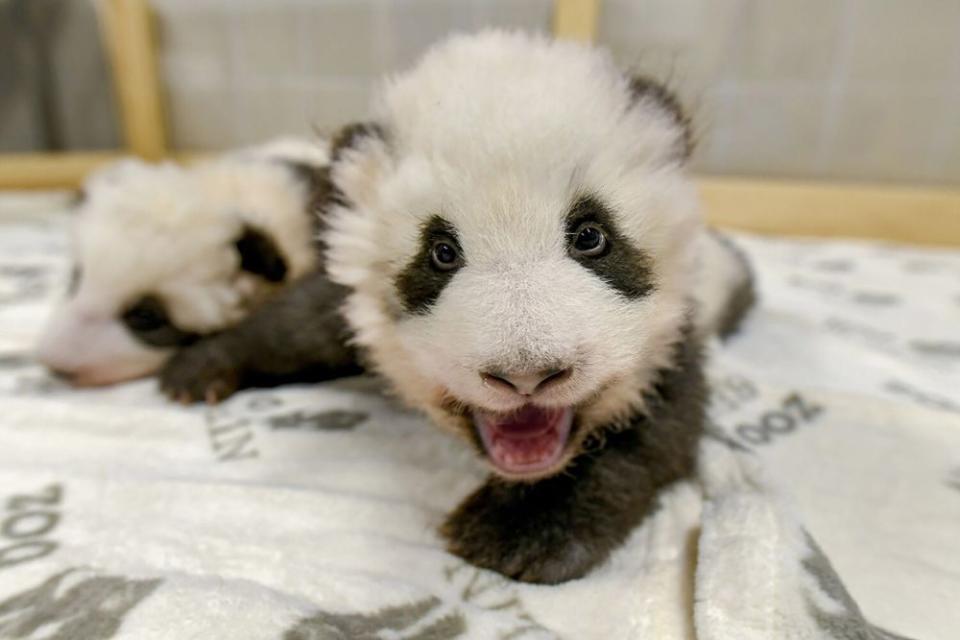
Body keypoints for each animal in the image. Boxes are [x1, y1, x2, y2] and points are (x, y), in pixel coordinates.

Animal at [159, 30, 756, 584]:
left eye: (591, 236)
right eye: (441, 253)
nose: (526, 376)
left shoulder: (669, 341)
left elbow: (656, 429)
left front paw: (519, 531)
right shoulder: (348, 304)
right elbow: (297, 324)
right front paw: (200, 368)